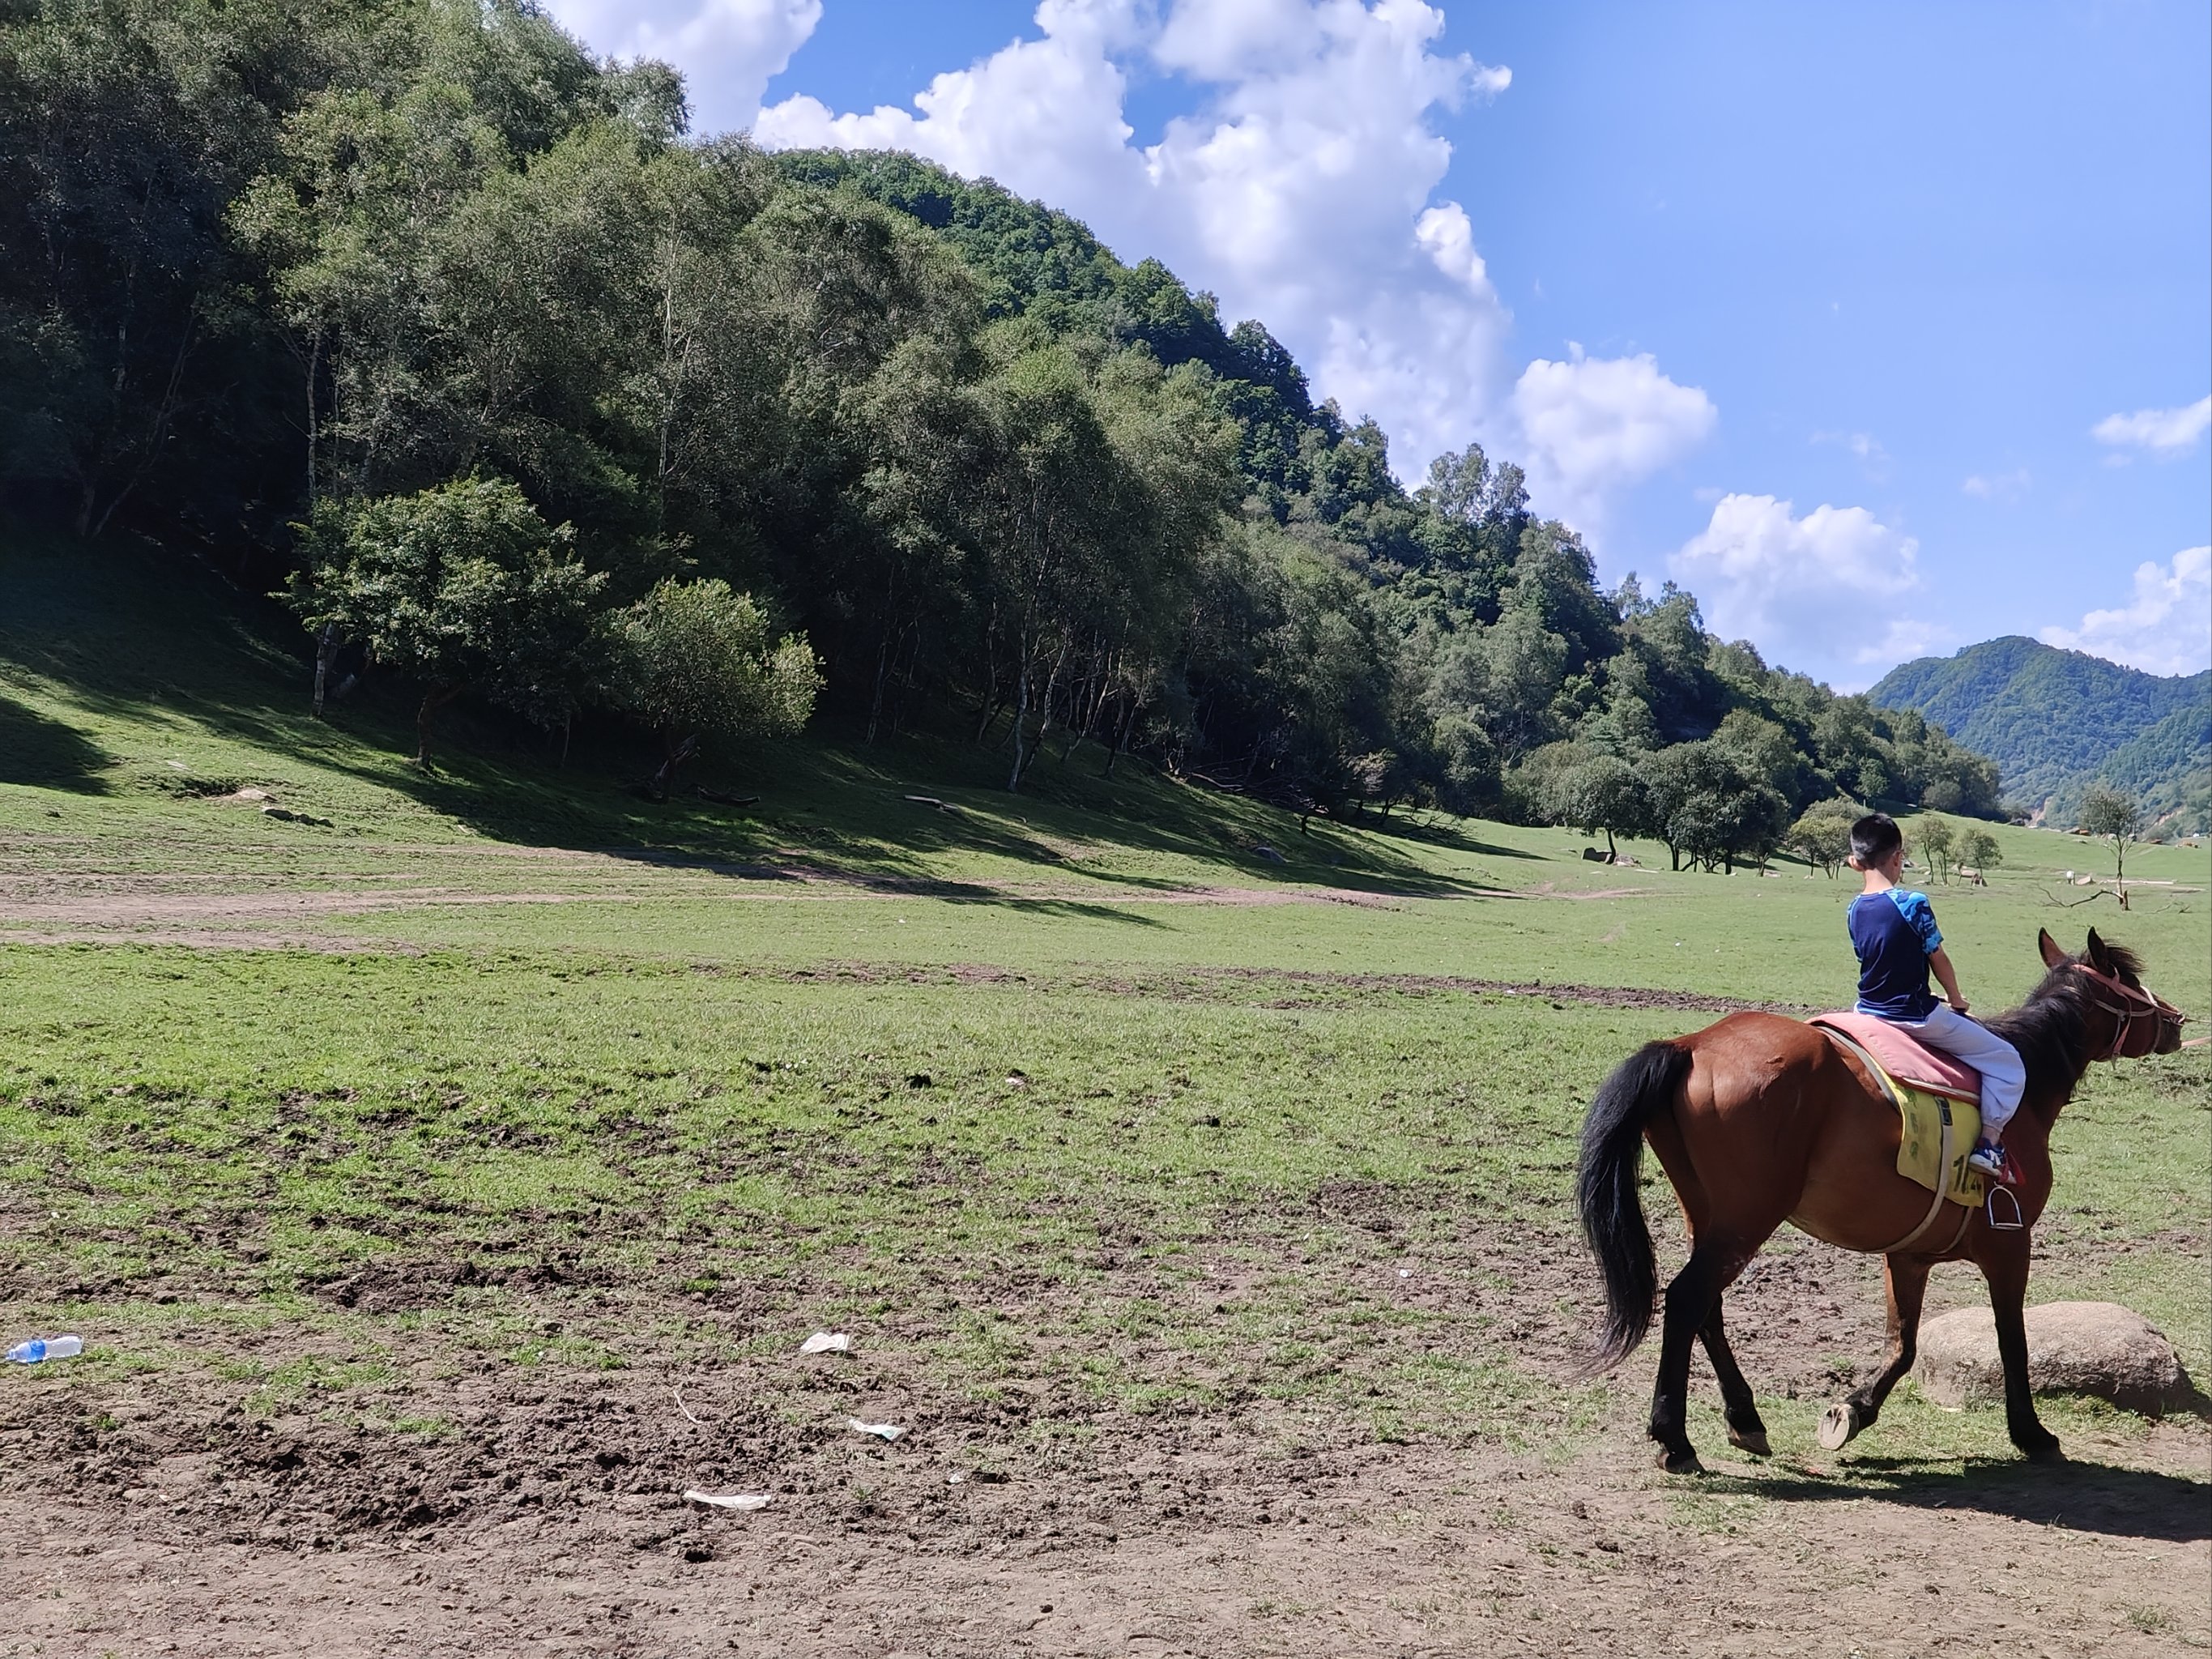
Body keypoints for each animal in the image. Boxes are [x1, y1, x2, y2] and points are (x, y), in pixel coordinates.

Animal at [1583, 928, 2185, 1478]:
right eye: (2131, 980)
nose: (2176, 1019)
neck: (2026, 1087)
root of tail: (1690, 1045)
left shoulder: (1909, 1256)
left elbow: (1904, 1346)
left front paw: (1852, 1411)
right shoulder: (2009, 1245)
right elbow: (2011, 1340)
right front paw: (2031, 1433)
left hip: (1708, 1216)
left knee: (1706, 1307)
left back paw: (1745, 1419)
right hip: (1745, 1219)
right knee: (1687, 1298)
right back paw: (1674, 1439)